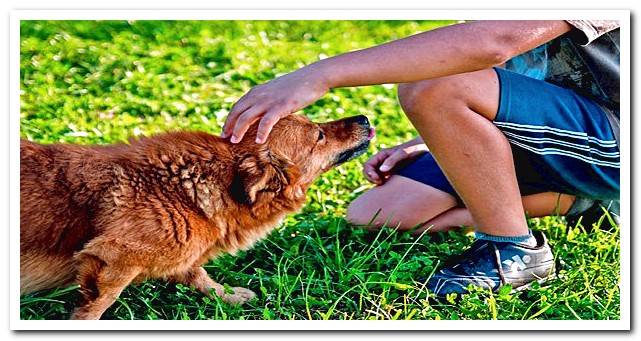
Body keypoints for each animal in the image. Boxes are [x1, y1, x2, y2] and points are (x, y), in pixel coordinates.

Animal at [20, 114, 372, 318]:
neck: (184, 191)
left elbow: (198, 275)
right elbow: (96, 306)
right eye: (318, 135)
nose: (365, 118)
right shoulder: (112, 260)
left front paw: (228, 296)